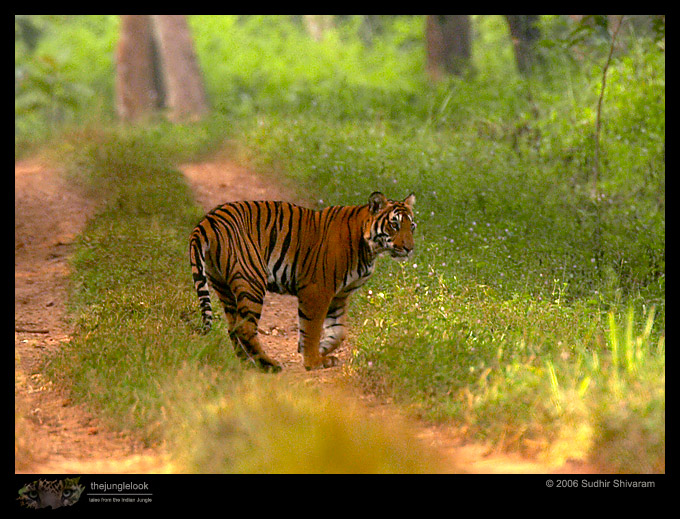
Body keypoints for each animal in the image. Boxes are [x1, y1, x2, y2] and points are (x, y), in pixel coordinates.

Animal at [189, 191, 416, 371]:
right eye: (394, 224)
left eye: (411, 226)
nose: (409, 248)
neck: (370, 248)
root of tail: (209, 219)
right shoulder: (317, 290)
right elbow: (312, 327)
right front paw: (313, 360)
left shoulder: (339, 296)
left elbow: (338, 331)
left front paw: (322, 351)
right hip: (251, 279)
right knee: (244, 328)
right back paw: (268, 365)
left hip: (222, 285)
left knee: (233, 327)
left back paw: (247, 363)